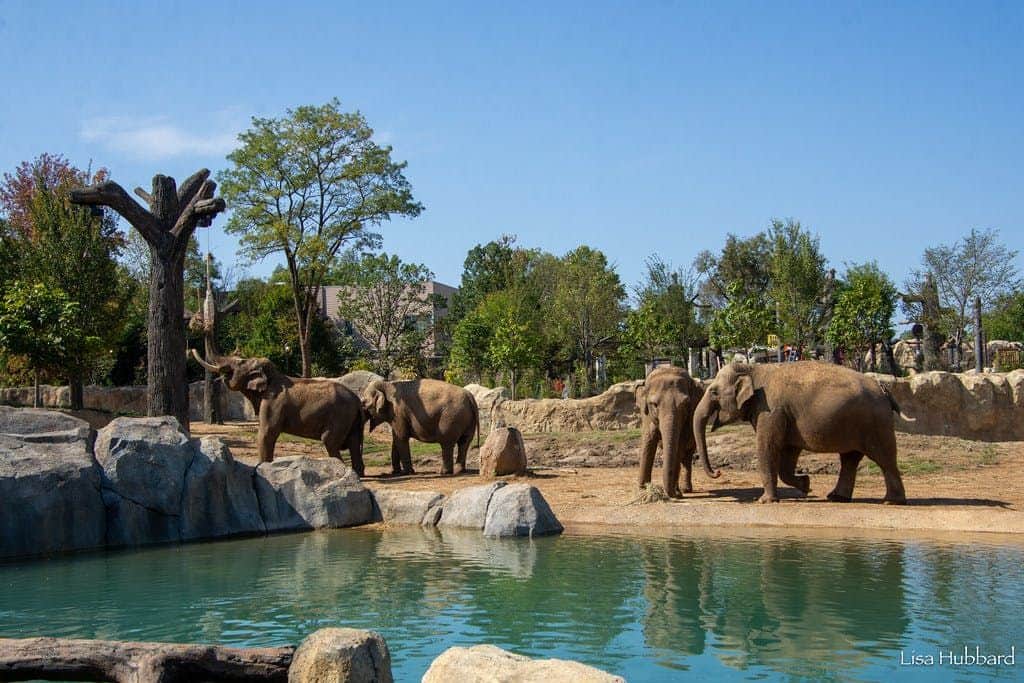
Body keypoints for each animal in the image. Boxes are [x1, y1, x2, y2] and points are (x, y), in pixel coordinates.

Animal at [191, 350, 366, 475]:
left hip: (340, 416)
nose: (190, 349)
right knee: (354, 443)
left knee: (330, 441)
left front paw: (261, 469)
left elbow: (267, 433)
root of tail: (357, 401)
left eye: (239, 362)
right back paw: (358, 474)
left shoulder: (273, 402)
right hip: (352, 420)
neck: (271, 375)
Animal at [635, 366, 715, 497]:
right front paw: (643, 489)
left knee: (687, 456)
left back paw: (684, 490)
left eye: (685, 404)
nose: (718, 472)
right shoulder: (646, 415)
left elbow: (679, 445)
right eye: (654, 405)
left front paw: (675, 493)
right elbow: (648, 440)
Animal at [693, 361, 908, 504]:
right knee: (850, 459)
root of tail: (885, 391)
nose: (718, 472)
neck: (753, 369)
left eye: (713, 392)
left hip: (876, 423)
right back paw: (837, 497)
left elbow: (767, 447)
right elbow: (788, 455)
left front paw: (765, 501)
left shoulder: (771, 411)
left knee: (884, 458)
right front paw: (806, 484)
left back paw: (892, 501)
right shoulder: (784, 417)